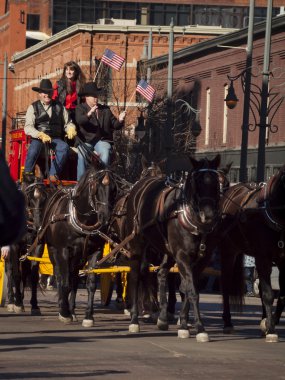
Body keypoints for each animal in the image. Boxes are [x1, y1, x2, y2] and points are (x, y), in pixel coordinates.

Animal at [36, 160, 118, 324]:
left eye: (114, 188)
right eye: (96, 187)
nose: (106, 218)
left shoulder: (95, 252)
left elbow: (90, 283)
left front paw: (88, 316)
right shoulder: (63, 251)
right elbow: (64, 281)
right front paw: (64, 312)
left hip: (78, 257)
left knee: (73, 277)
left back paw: (72, 310)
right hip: (54, 251)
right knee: (60, 276)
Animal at [118, 154, 221, 342]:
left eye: (216, 182)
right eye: (197, 181)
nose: (208, 214)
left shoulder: (201, 260)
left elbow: (188, 288)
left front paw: (183, 324)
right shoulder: (182, 256)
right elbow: (192, 291)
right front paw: (200, 328)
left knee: (160, 273)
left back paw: (162, 317)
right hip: (137, 244)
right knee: (136, 276)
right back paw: (135, 319)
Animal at [215, 163, 284, 342]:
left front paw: (269, 322)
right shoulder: (263, 258)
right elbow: (268, 294)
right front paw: (270, 328)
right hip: (228, 251)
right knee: (226, 284)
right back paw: (228, 322)